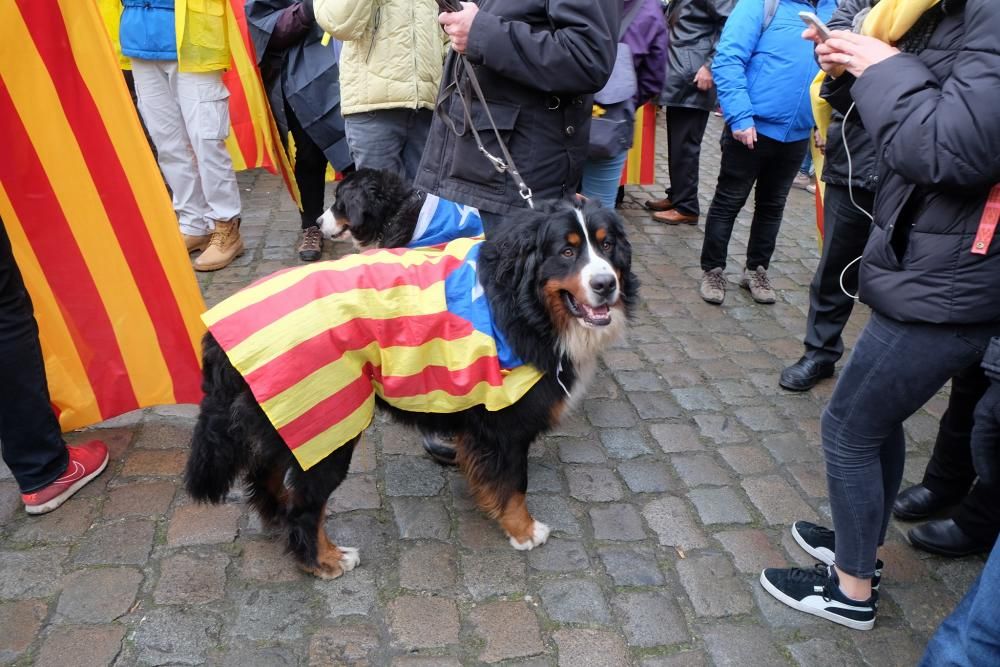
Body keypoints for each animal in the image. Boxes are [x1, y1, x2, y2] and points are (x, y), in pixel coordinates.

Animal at [186, 200, 640, 580]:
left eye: (607, 245)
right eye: (566, 252)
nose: (606, 284)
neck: (522, 302)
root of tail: (219, 333)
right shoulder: (505, 425)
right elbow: (515, 485)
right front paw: (524, 531)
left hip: (288, 424)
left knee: (266, 477)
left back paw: (279, 522)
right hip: (328, 427)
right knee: (306, 505)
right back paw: (324, 559)